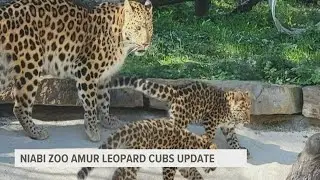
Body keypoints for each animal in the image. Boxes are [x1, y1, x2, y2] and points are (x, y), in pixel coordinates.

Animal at [0, 0, 154, 142]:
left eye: (150, 28)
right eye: (138, 28)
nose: (146, 44)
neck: (121, 39)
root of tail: (4, 12)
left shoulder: (104, 77)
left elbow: (105, 100)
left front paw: (107, 121)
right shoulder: (87, 71)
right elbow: (91, 103)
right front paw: (92, 130)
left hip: (4, 69)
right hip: (31, 65)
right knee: (20, 106)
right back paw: (35, 132)